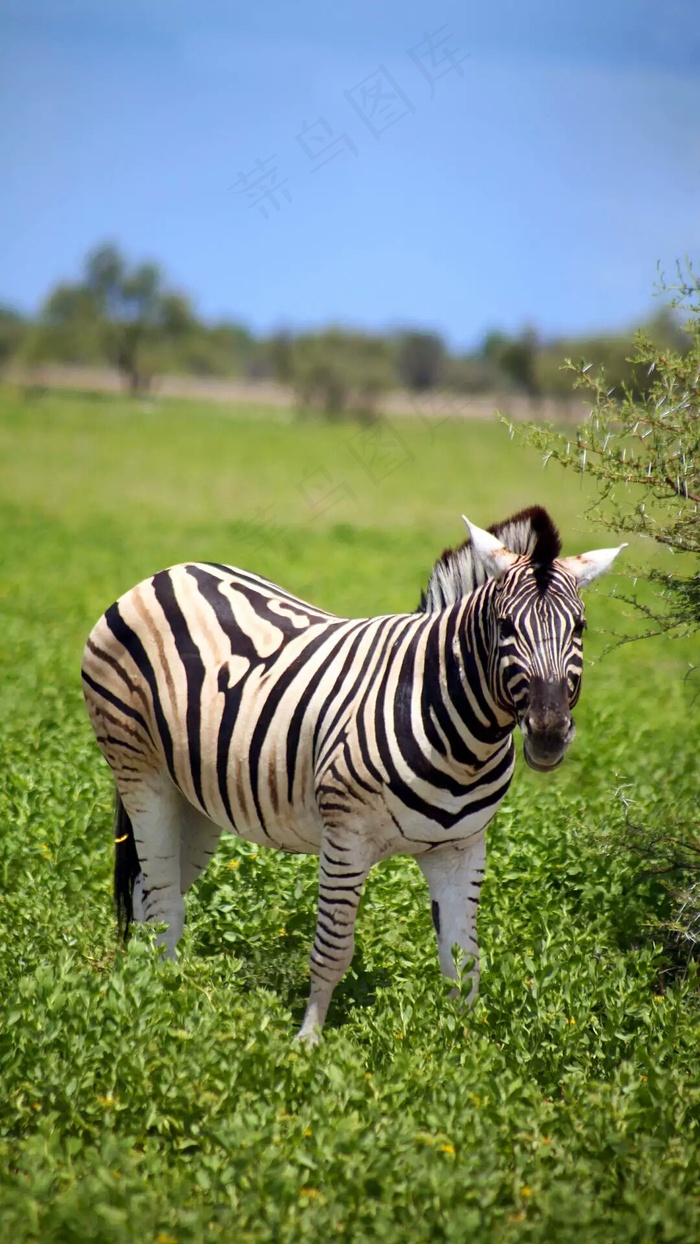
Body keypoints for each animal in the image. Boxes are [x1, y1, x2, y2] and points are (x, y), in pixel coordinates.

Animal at [80, 502, 624, 1039]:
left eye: (580, 628)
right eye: (505, 626)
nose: (549, 733)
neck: (458, 732)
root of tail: (170, 572)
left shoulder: (461, 847)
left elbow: (462, 959)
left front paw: (463, 1045)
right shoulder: (346, 838)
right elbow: (332, 950)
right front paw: (308, 1041)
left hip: (194, 798)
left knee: (148, 895)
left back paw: (150, 988)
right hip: (141, 771)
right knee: (162, 903)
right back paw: (165, 1006)